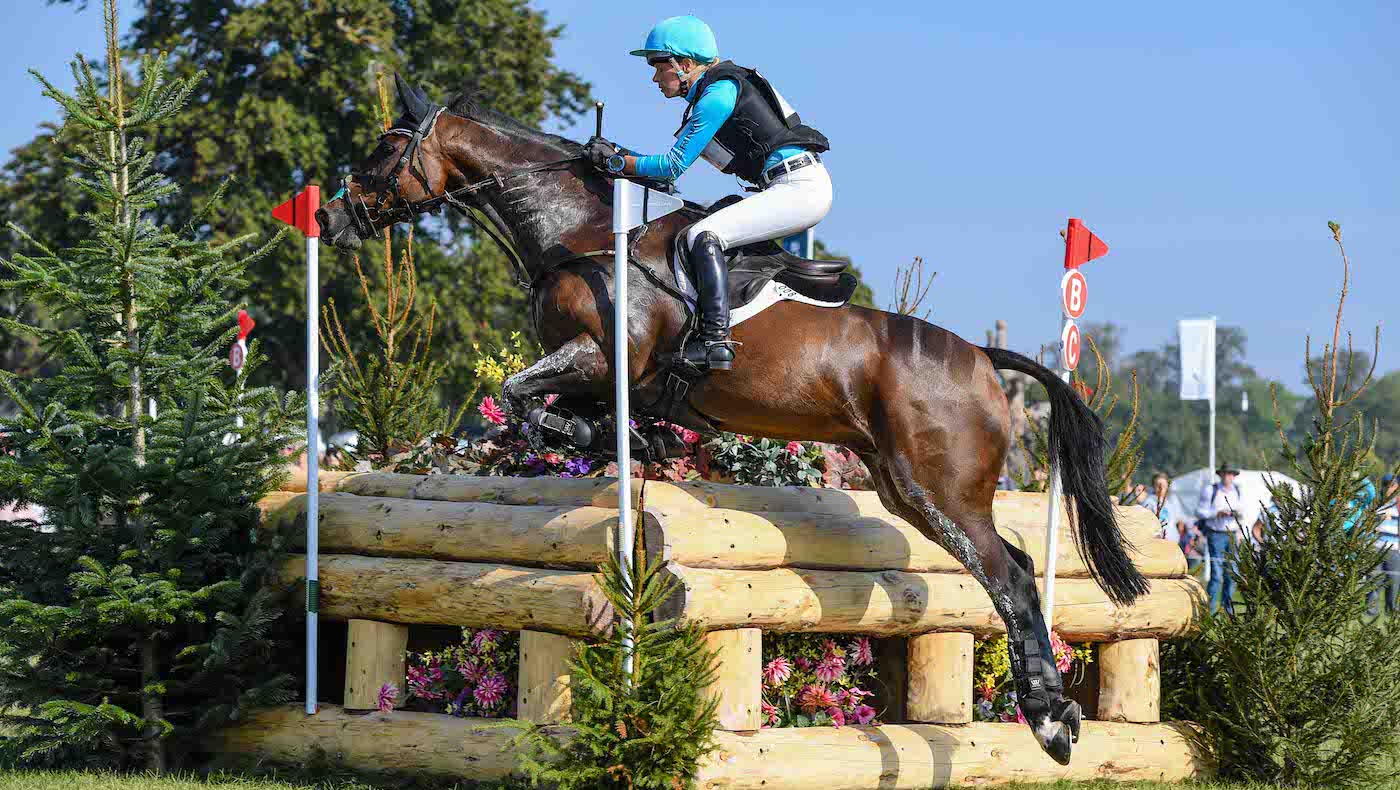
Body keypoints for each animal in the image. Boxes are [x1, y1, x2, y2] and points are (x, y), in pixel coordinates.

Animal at [315, 76, 1150, 764]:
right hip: (900, 483)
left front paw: (601, 437)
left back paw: (1049, 721)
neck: (577, 237)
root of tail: (980, 356)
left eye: (385, 147)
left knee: (1009, 575)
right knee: (1011, 562)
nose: (330, 213)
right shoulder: (602, 379)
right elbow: (543, 412)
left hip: (938, 487)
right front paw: (628, 437)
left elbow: (521, 399)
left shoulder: (598, 358)